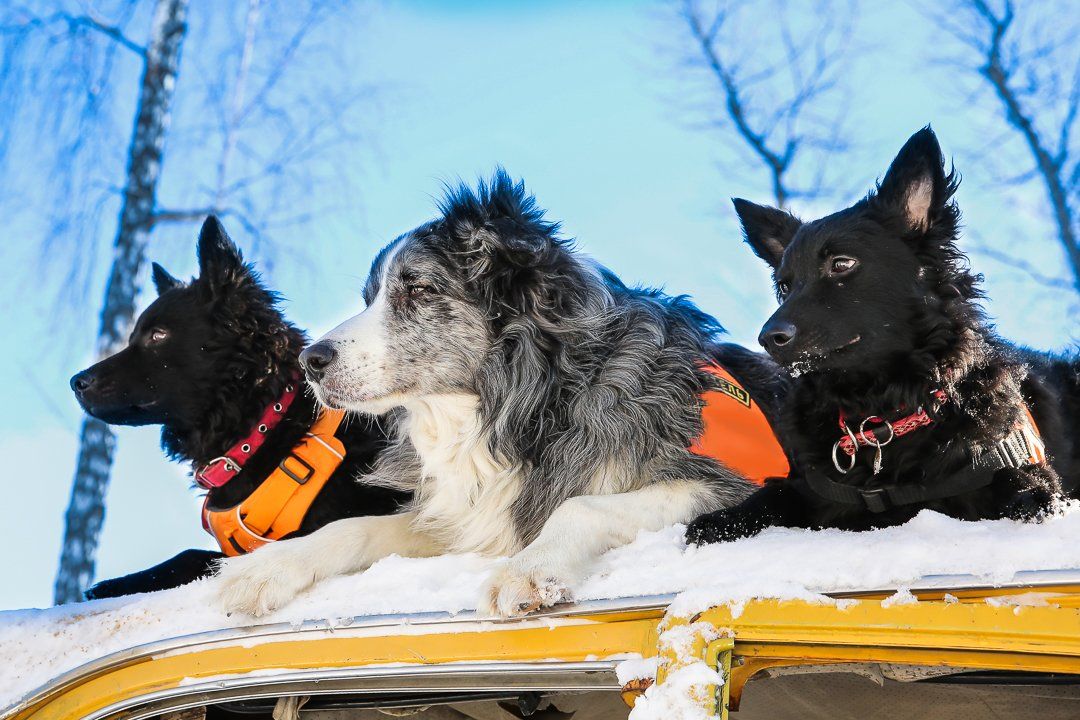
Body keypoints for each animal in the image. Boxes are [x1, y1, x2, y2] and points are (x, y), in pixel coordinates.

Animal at [686, 126, 1075, 544]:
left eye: (842, 264)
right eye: (785, 286)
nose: (767, 337)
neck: (882, 415)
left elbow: (1026, 485)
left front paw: (1033, 500)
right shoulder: (809, 488)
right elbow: (769, 498)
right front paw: (719, 522)